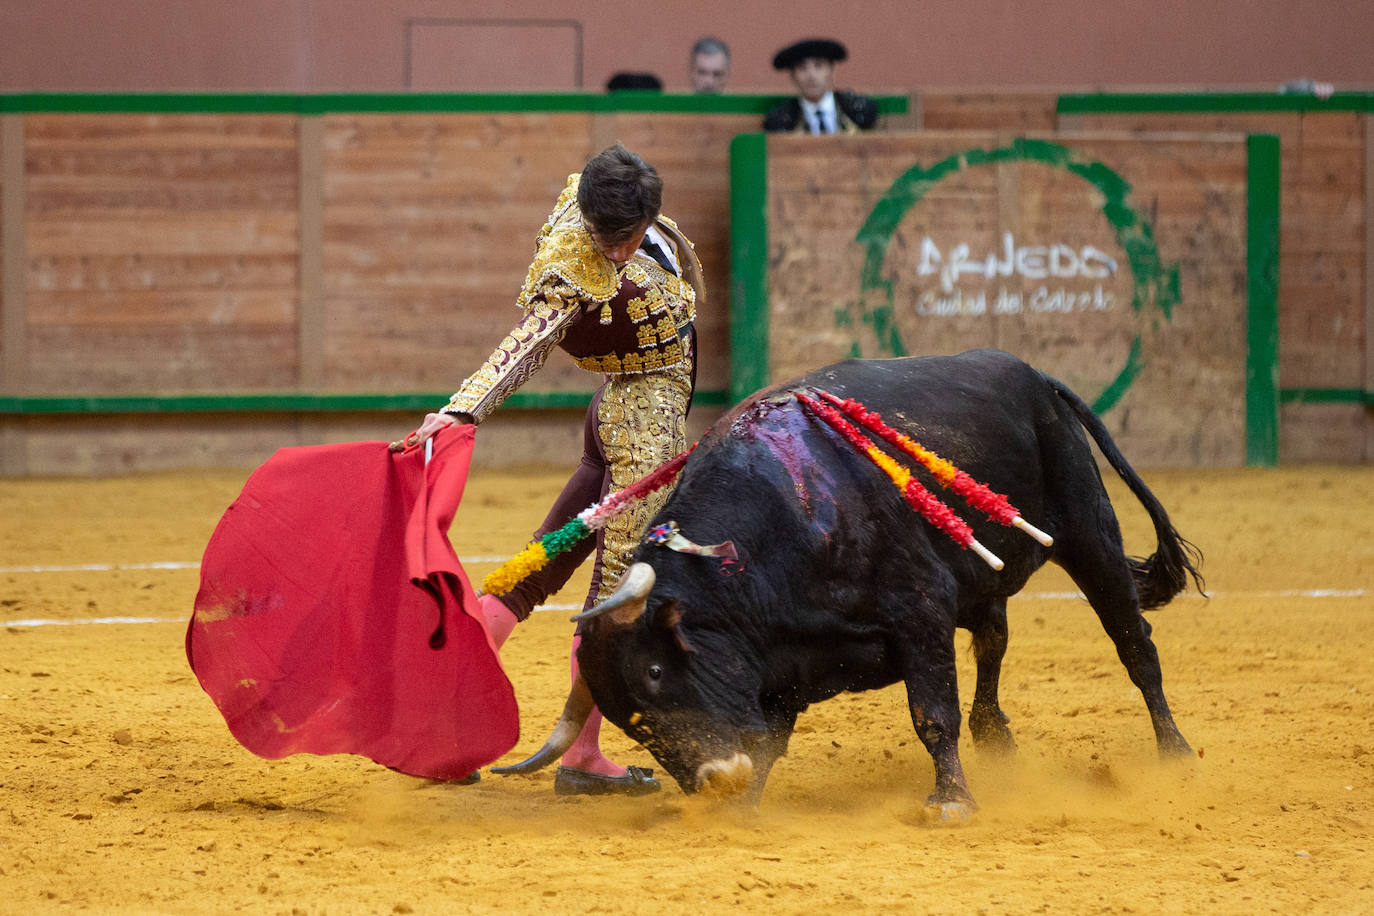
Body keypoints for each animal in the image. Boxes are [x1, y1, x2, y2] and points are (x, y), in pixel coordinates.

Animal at [497, 351, 1203, 818]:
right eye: (632, 724)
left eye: (652, 670)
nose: (715, 779)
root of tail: (1034, 377)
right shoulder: (779, 664)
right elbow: (771, 739)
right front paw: (744, 807)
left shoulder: (920, 610)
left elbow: (931, 714)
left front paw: (950, 802)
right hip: (983, 578)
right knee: (994, 640)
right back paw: (997, 738)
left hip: (1089, 532)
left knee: (1133, 643)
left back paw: (1174, 754)